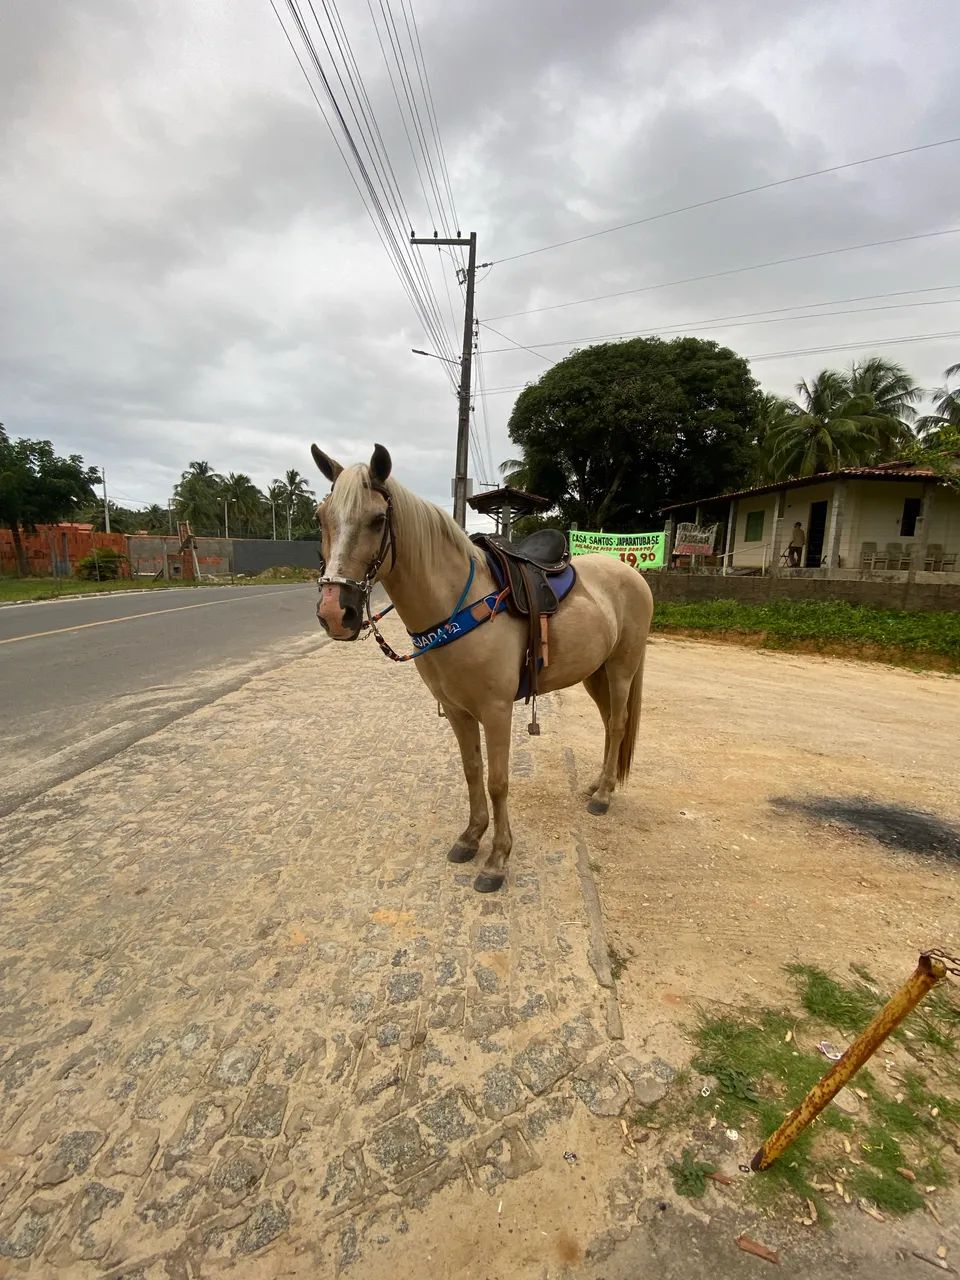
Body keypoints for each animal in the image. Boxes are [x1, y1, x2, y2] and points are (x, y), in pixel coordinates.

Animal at [312, 442, 654, 894]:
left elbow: (497, 781)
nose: (336, 614)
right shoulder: (459, 712)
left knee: (616, 724)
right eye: (321, 518)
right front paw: (471, 838)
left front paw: (497, 860)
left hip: (620, 669)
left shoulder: (496, 710)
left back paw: (602, 798)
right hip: (595, 674)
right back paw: (600, 783)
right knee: (609, 724)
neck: (459, 602)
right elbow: (473, 772)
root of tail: (632, 573)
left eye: (378, 519)